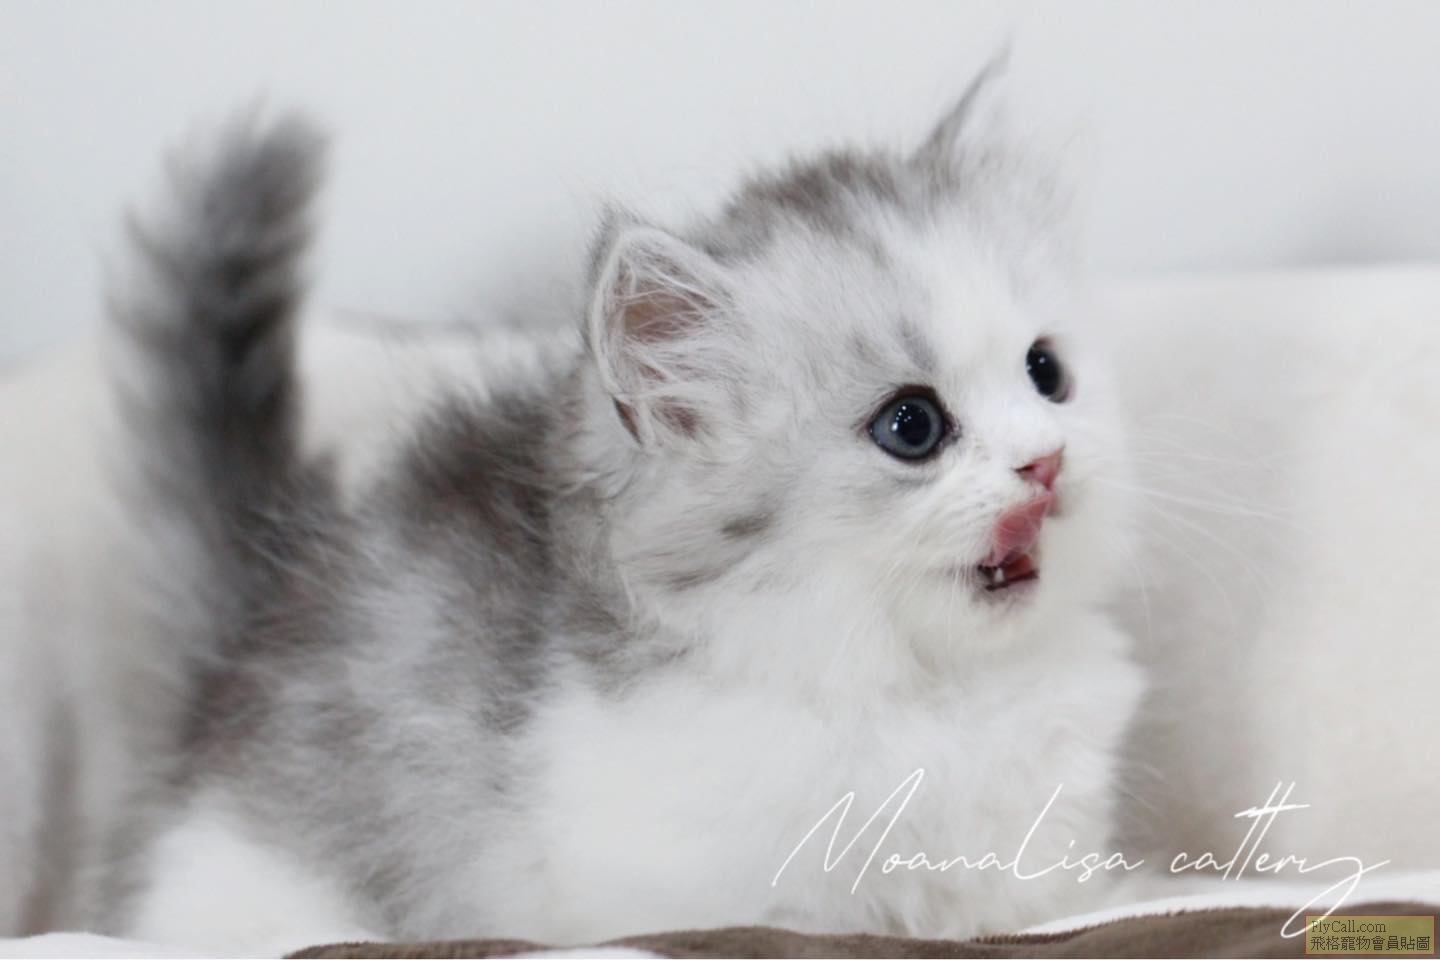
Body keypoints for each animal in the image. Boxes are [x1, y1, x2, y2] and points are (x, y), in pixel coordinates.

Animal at [98, 65, 1144, 953]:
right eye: (912, 425)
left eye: (1046, 373)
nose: (1045, 461)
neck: (931, 694)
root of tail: (247, 634)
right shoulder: (704, 899)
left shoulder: (1045, 889)